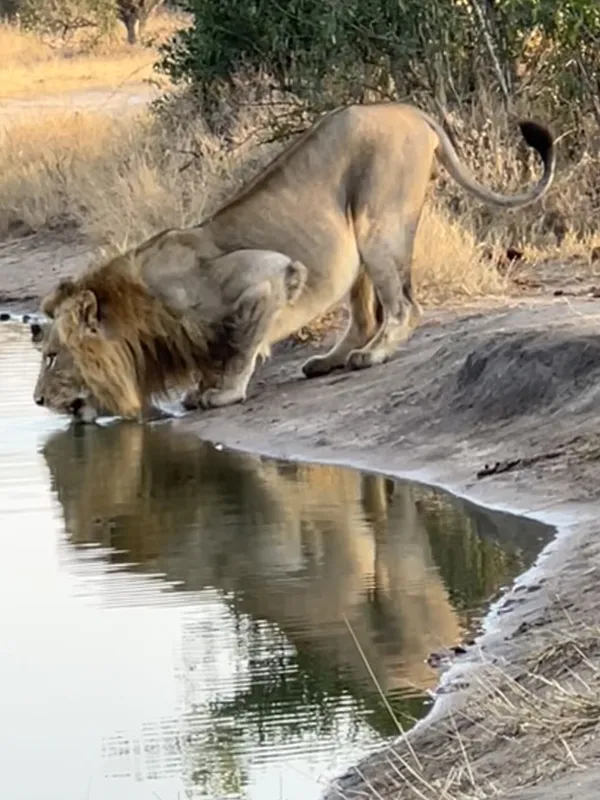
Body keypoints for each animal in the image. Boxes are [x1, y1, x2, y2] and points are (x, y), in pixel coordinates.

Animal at [31, 103, 556, 422]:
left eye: (52, 356)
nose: (35, 400)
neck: (136, 316)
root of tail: (413, 111)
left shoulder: (268, 274)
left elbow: (239, 346)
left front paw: (222, 393)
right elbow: (218, 351)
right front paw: (202, 387)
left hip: (378, 223)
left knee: (405, 307)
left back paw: (373, 356)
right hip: (355, 243)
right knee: (366, 316)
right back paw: (330, 360)